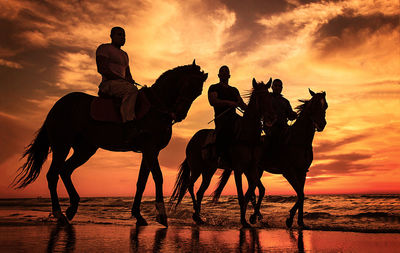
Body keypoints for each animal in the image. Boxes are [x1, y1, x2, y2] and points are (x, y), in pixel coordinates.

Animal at [12, 60, 208, 226]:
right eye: (189, 85)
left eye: (198, 92)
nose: (180, 115)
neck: (156, 107)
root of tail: (57, 105)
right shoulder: (150, 149)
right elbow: (158, 177)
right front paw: (161, 214)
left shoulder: (149, 152)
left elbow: (141, 182)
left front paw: (138, 215)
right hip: (62, 145)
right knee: (53, 175)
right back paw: (60, 214)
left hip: (85, 150)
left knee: (65, 170)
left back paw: (72, 208)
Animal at [169, 78, 276, 226]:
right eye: (260, 97)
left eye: (270, 98)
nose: (271, 118)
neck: (247, 136)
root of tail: (192, 140)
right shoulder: (238, 169)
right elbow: (242, 195)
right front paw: (244, 221)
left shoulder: (252, 168)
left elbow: (257, 190)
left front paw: (253, 217)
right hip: (196, 168)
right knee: (189, 186)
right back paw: (196, 215)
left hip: (209, 171)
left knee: (200, 191)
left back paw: (198, 217)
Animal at [212, 89, 328, 227]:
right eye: (314, 105)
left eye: (325, 106)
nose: (322, 124)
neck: (299, 141)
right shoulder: (288, 172)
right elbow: (301, 194)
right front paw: (290, 219)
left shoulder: (302, 172)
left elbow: (301, 195)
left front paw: (299, 221)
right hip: (249, 170)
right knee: (254, 191)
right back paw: (253, 216)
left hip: (257, 171)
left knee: (254, 191)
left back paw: (256, 216)